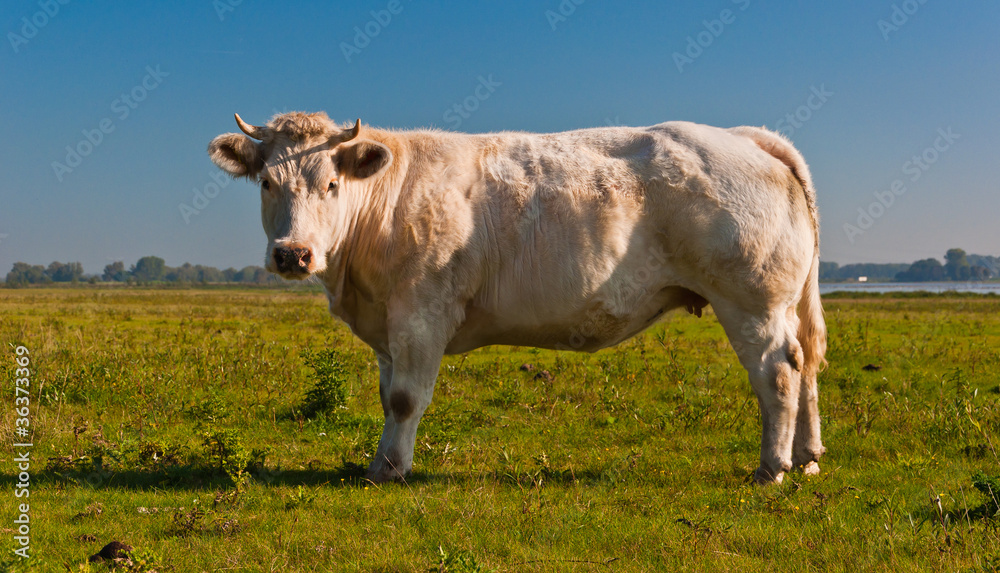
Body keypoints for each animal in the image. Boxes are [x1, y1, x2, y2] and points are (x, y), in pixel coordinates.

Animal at [207, 110, 824, 482]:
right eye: (267, 182)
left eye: (332, 184)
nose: (293, 254)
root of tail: (743, 135)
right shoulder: (388, 324)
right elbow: (387, 396)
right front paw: (383, 460)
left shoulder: (421, 311)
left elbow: (405, 398)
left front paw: (391, 469)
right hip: (781, 305)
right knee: (807, 364)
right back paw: (807, 457)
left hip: (751, 301)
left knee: (779, 371)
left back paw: (771, 467)